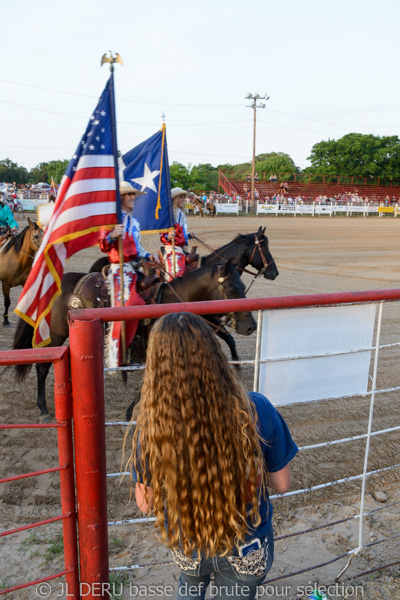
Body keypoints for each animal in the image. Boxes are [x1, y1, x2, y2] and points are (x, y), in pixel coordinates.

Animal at [14, 260, 256, 420]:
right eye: (232, 289)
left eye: (244, 288)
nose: (251, 326)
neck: (169, 301)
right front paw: (131, 412)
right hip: (55, 335)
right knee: (43, 367)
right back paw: (44, 409)